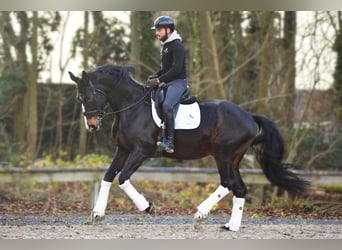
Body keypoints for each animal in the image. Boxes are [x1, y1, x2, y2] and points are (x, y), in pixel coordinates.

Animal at [69, 63, 310, 231]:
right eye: (79, 99)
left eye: (89, 97)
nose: (92, 126)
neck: (132, 107)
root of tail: (249, 116)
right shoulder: (123, 150)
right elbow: (108, 176)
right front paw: (97, 213)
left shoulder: (141, 151)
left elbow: (123, 178)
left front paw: (148, 207)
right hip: (233, 158)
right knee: (239, 188)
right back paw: (231, 226)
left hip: (223, 154)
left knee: (228, 183)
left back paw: (200, 215)